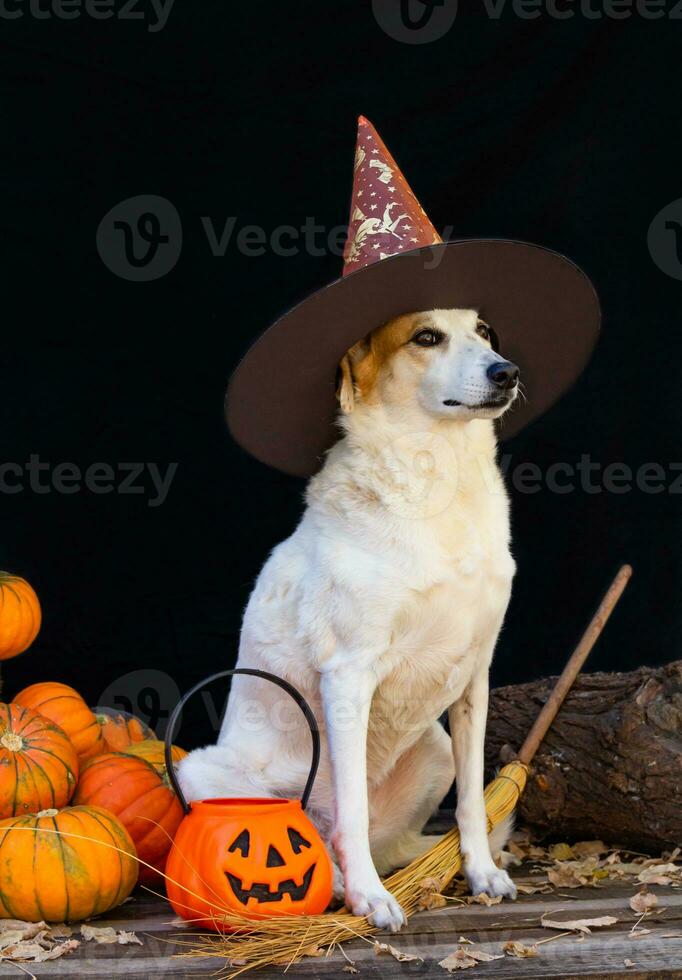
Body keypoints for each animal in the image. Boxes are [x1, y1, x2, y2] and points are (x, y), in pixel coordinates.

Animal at [178, 308, 516, 936]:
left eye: (484, 331)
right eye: (426, 337)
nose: (506, 372)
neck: (440, 476)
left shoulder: (474, 677)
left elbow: (473, 800)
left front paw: (481, 872)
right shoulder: (349, 676)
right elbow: (352, 813)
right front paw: (369, 898)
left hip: (435, 747)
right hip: (203, 773)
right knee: (331, 832)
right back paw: (339, 881)